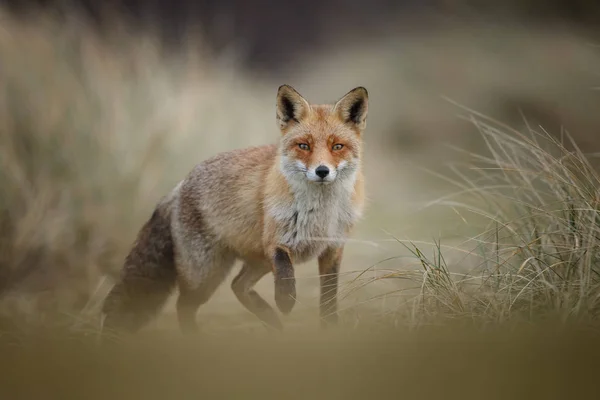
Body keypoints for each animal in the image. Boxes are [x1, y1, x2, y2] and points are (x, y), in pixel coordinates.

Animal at [101, 83, 368, 332]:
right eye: (304, 146)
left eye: (337, 147)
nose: (322, 171)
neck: (321, 214)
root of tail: (181, 183)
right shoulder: (276, 241)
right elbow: (285, 271)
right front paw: (285, 300)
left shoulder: (333, 246)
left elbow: (329, 299)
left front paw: (329, 328)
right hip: (205, 274)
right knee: (185, 304)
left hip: (253, 263)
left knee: (237, 286)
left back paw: (272, 323)